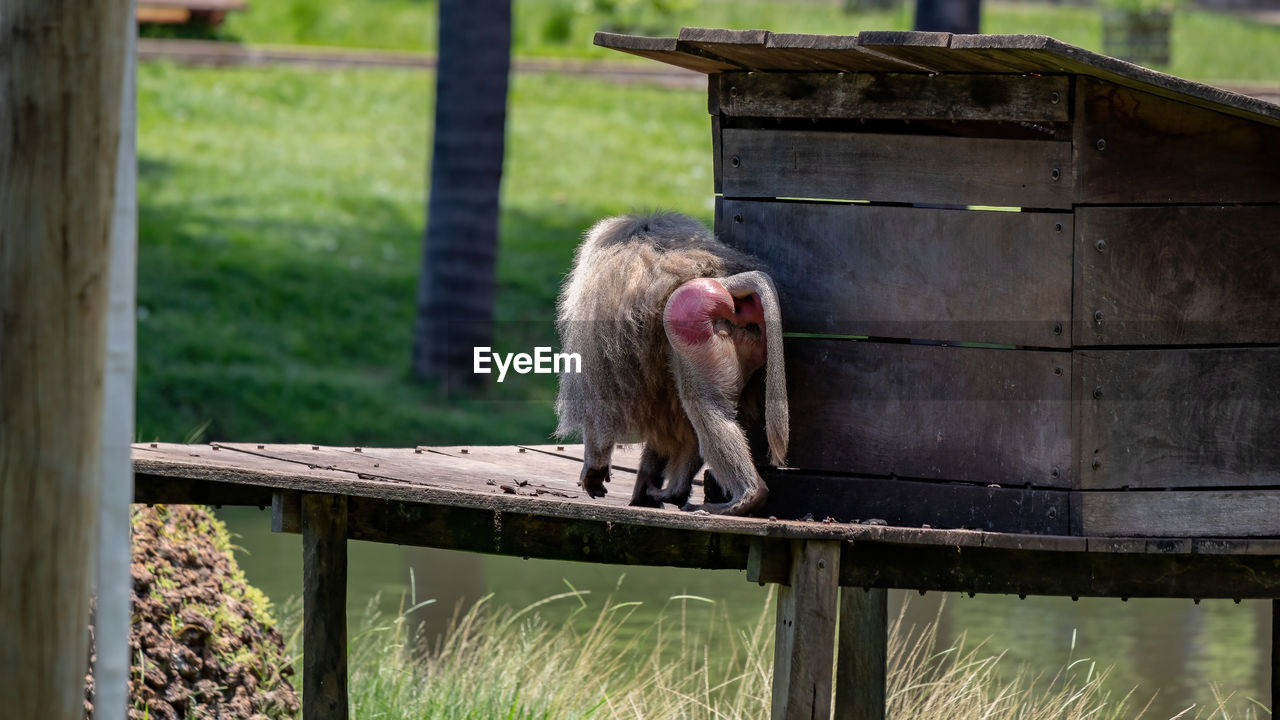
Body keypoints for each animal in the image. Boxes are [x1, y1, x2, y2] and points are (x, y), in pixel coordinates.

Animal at [552, 210, 783, 512]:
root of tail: (725, 283)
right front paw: (644, 485)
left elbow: (600, 406)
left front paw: (594, 468)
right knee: (701, 410)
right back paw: (676, 492)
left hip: (690, 326)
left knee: (703, 405)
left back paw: (747, 496)